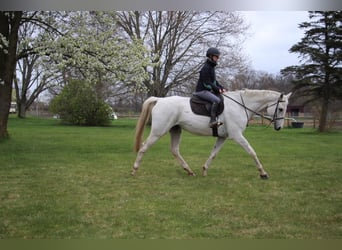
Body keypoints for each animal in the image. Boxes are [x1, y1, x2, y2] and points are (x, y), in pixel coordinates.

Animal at [132, 89, 292, 179]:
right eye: (280, 109)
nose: (279, 128)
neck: (240, 105)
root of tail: (159, 100)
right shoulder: (237, 136)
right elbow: (252, 152)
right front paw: (263, 173)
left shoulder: (222, 137)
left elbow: (213, 154)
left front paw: (204, 170)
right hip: (159, 131)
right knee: (144, 147)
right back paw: (134, 169)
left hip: (175, 130)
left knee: (175, 150)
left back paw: (189, 171)